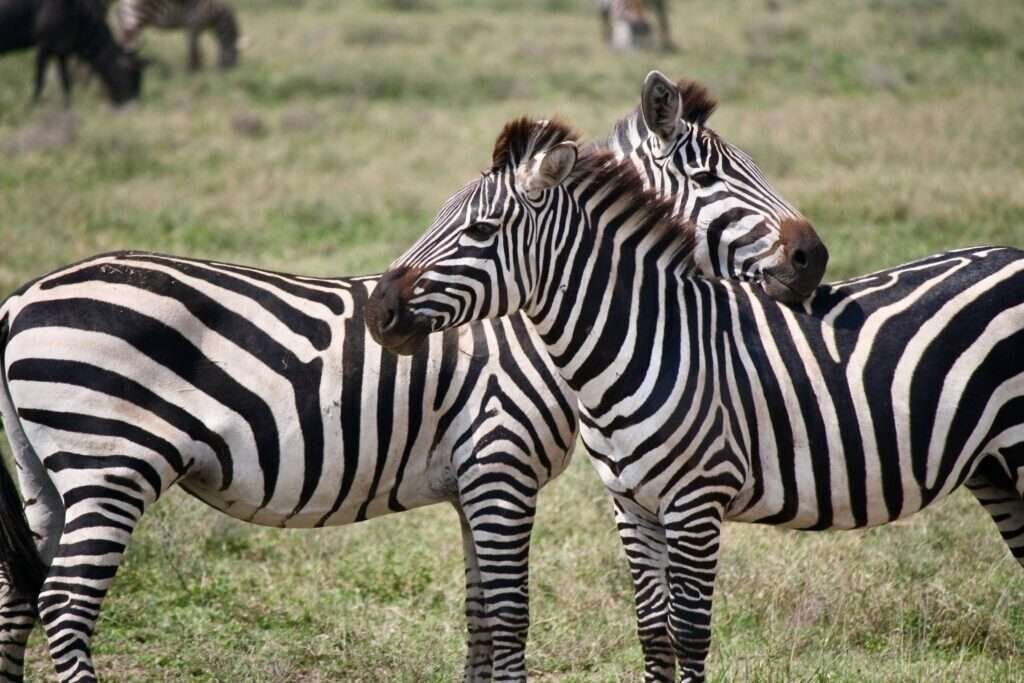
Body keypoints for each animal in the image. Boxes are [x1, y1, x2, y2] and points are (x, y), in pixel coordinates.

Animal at [0, 76, 824, 682]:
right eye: (710, 175)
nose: (813, 258)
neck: (530, 327)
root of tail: (22, 297)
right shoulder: (499, 465)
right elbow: (511, 619)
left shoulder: (472, 484)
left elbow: (480, 621)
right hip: (110, 464)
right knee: (66, 607)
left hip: (49, 476)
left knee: (18, 598)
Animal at [367, 116, 1024, 683]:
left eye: (480, 231)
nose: (377, 311)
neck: (646, 342)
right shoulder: (631, 505)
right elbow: (653, 631)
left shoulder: (696, 502)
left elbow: (690, 632)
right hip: (993, 469)